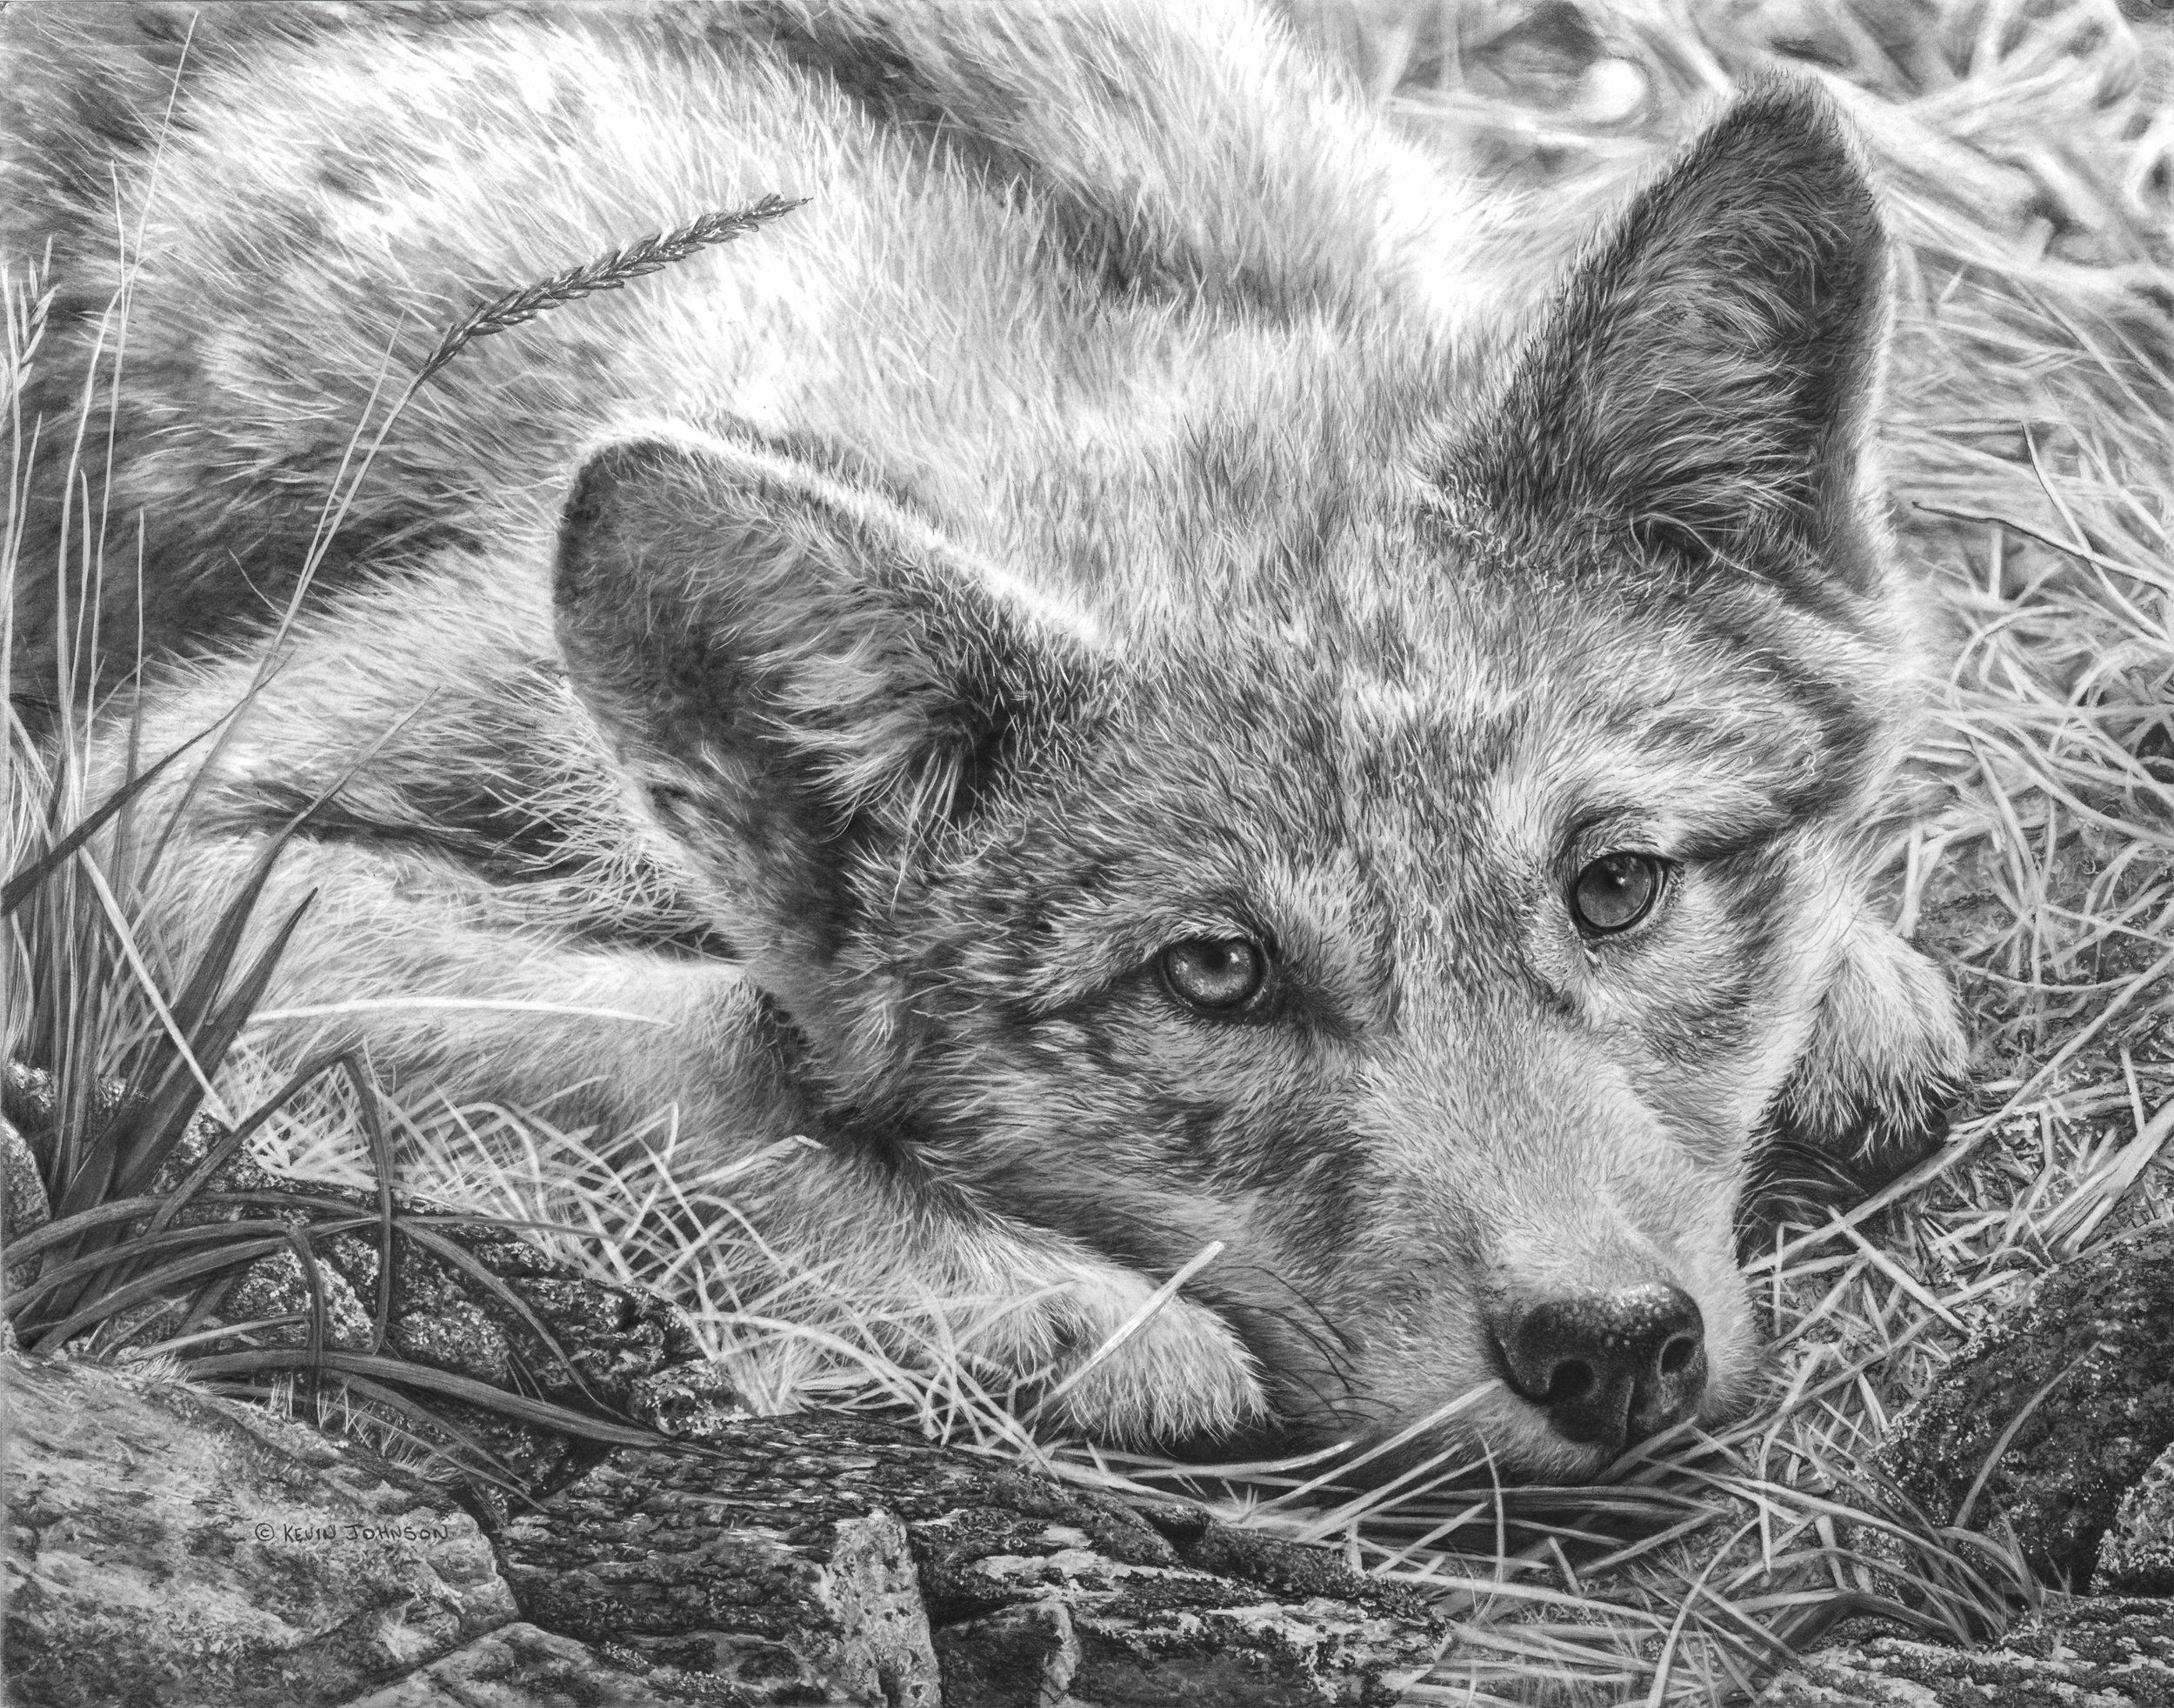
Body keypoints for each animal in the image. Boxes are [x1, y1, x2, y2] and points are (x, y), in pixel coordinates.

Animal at [3, 0, 1968, 1476]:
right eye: (1215, 976)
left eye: (1615, 886)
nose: (1607, 1347)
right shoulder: (127, 819)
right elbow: (696, 1035)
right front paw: (1060, 1301)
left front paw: (1859, 987)